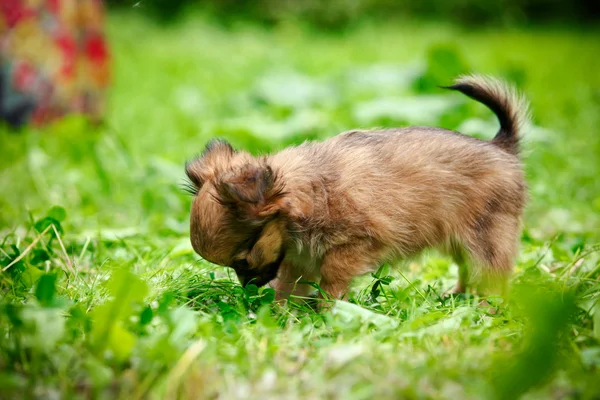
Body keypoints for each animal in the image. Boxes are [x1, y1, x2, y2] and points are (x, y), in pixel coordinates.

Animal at [185, 73, 528, 302]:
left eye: (243, 261)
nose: (249, 289)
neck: (307, 193)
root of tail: (501, 146)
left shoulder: (354, 246)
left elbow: (332, 280)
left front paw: (326, 313)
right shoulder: (297, 258)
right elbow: (289, 287)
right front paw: (281, 314)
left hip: (487, 238)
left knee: (492, 277)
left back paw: (486, 307)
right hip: (460, 240)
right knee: (467, 270)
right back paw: (456, 296)